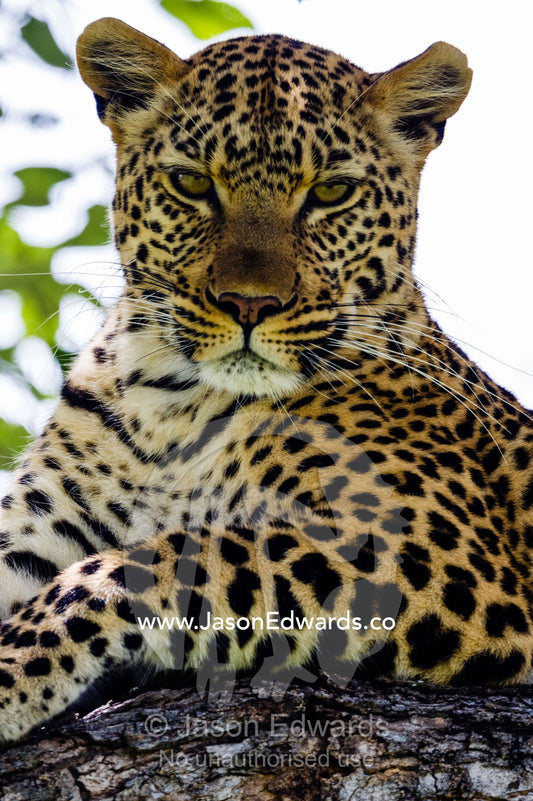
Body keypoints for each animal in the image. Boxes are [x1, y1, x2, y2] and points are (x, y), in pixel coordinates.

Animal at [0, 16, 532, 745]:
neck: (171, 407)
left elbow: (165, 558)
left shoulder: (436, 561)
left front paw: (7, 675)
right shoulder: (41, 528)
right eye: (192, 183)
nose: (248, 304)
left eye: (331, 192)